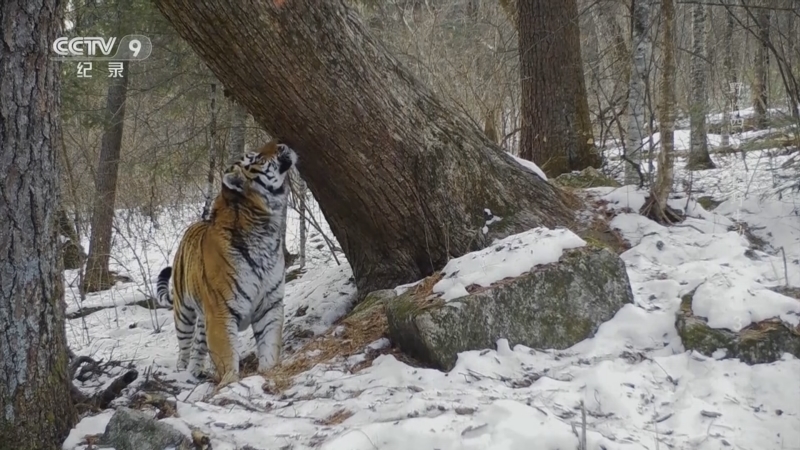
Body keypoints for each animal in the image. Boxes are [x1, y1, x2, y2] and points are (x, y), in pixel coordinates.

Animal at [154, 138, 296, 386]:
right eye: (256, 157)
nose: (281, 142)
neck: (265, 229)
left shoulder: (269, 305)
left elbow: (270, 345)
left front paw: (269, 371)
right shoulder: (221, 312)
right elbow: (227, 354)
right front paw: (231, 382)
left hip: (203, 319)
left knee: (198, 348)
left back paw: (194, 373)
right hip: (184, 313)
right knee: (184, 346)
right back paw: (182, 371)